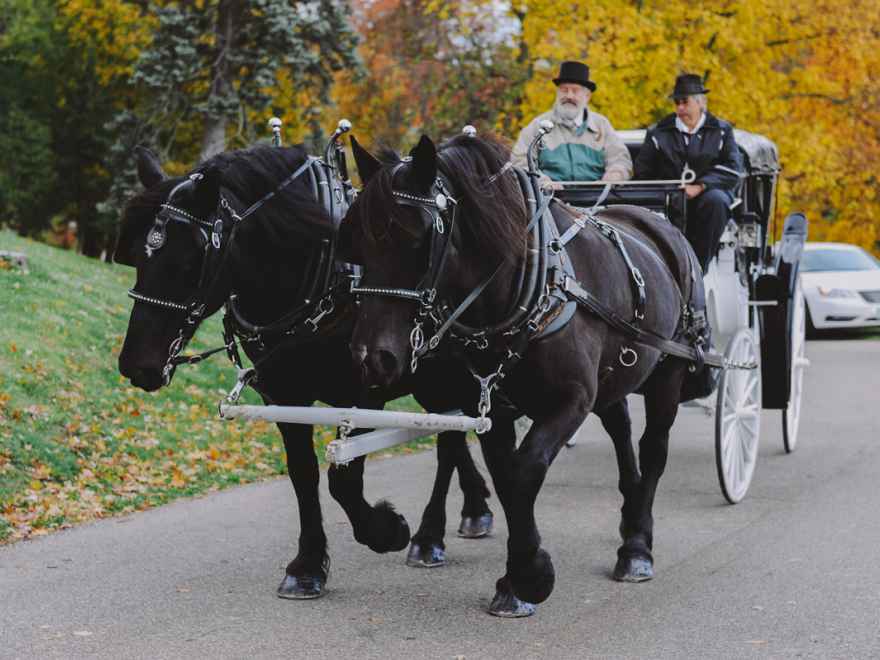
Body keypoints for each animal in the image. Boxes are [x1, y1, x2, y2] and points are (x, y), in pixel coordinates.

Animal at [113, 146, 496, 604]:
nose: (137, 364)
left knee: (451, 439)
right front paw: (308, 566)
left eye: (190, 260)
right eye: (137, 255)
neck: (326, 278)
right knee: (453, 437)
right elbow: (303, 474)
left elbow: (343, 479)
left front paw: (387, 530)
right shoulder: (284, 396)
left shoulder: (366, 389)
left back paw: (429, 536)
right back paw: (474, 509)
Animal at [346, 133, 708, 612]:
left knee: (653, 449)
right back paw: (629, 515)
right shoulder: (489, 406)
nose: (372, 357)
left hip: (669, 371)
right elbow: (506, 478)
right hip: (614, 377)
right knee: (621, 428)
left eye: (419, 237)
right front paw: (516, 576)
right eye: (353, 239)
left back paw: (636, 548)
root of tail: (657, 222)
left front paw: (530, 575)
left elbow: (525, 472)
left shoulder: (570, 401)